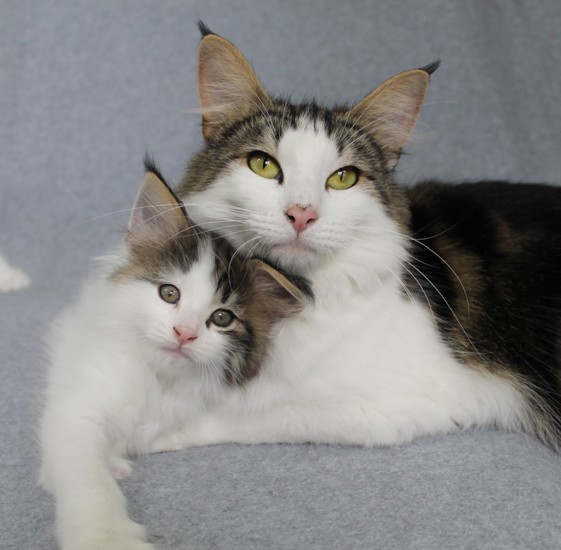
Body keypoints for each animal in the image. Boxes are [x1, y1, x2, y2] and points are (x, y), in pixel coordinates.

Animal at [39, 158, 310, 550]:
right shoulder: (78, 407)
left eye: (222, 317)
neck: (154, 377)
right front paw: (105, 535)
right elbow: (89, 479)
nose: (184, 333)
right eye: (169, 294)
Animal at [171, 23, 561, 451]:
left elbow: (246, 410)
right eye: (263, 164)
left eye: (343, 178)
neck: (295, 293)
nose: (302, 214)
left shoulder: (414, 396)